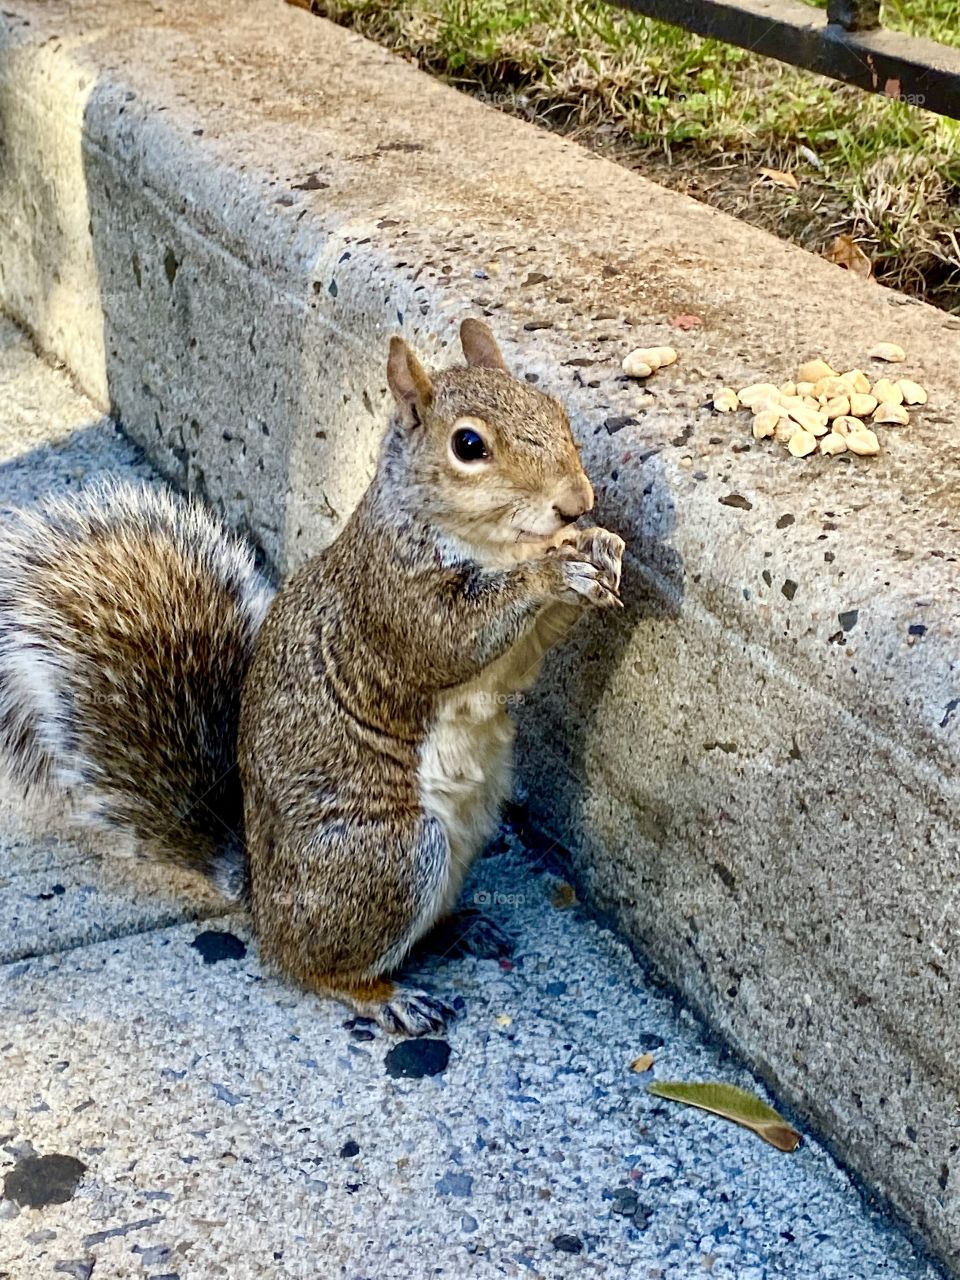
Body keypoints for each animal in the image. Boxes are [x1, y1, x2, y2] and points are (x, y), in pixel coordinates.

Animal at [0, 319, 624, 1035]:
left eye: (553, 408)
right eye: (469, 445)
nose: (577, 502)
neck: (485, 543)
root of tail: (262, 904)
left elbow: (527, 654)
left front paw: (597, 548)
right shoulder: (392, 603)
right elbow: (454, 639)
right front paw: (552, 570)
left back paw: (460, 928)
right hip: (389, 858)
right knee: (316, 967)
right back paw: (387, 995)